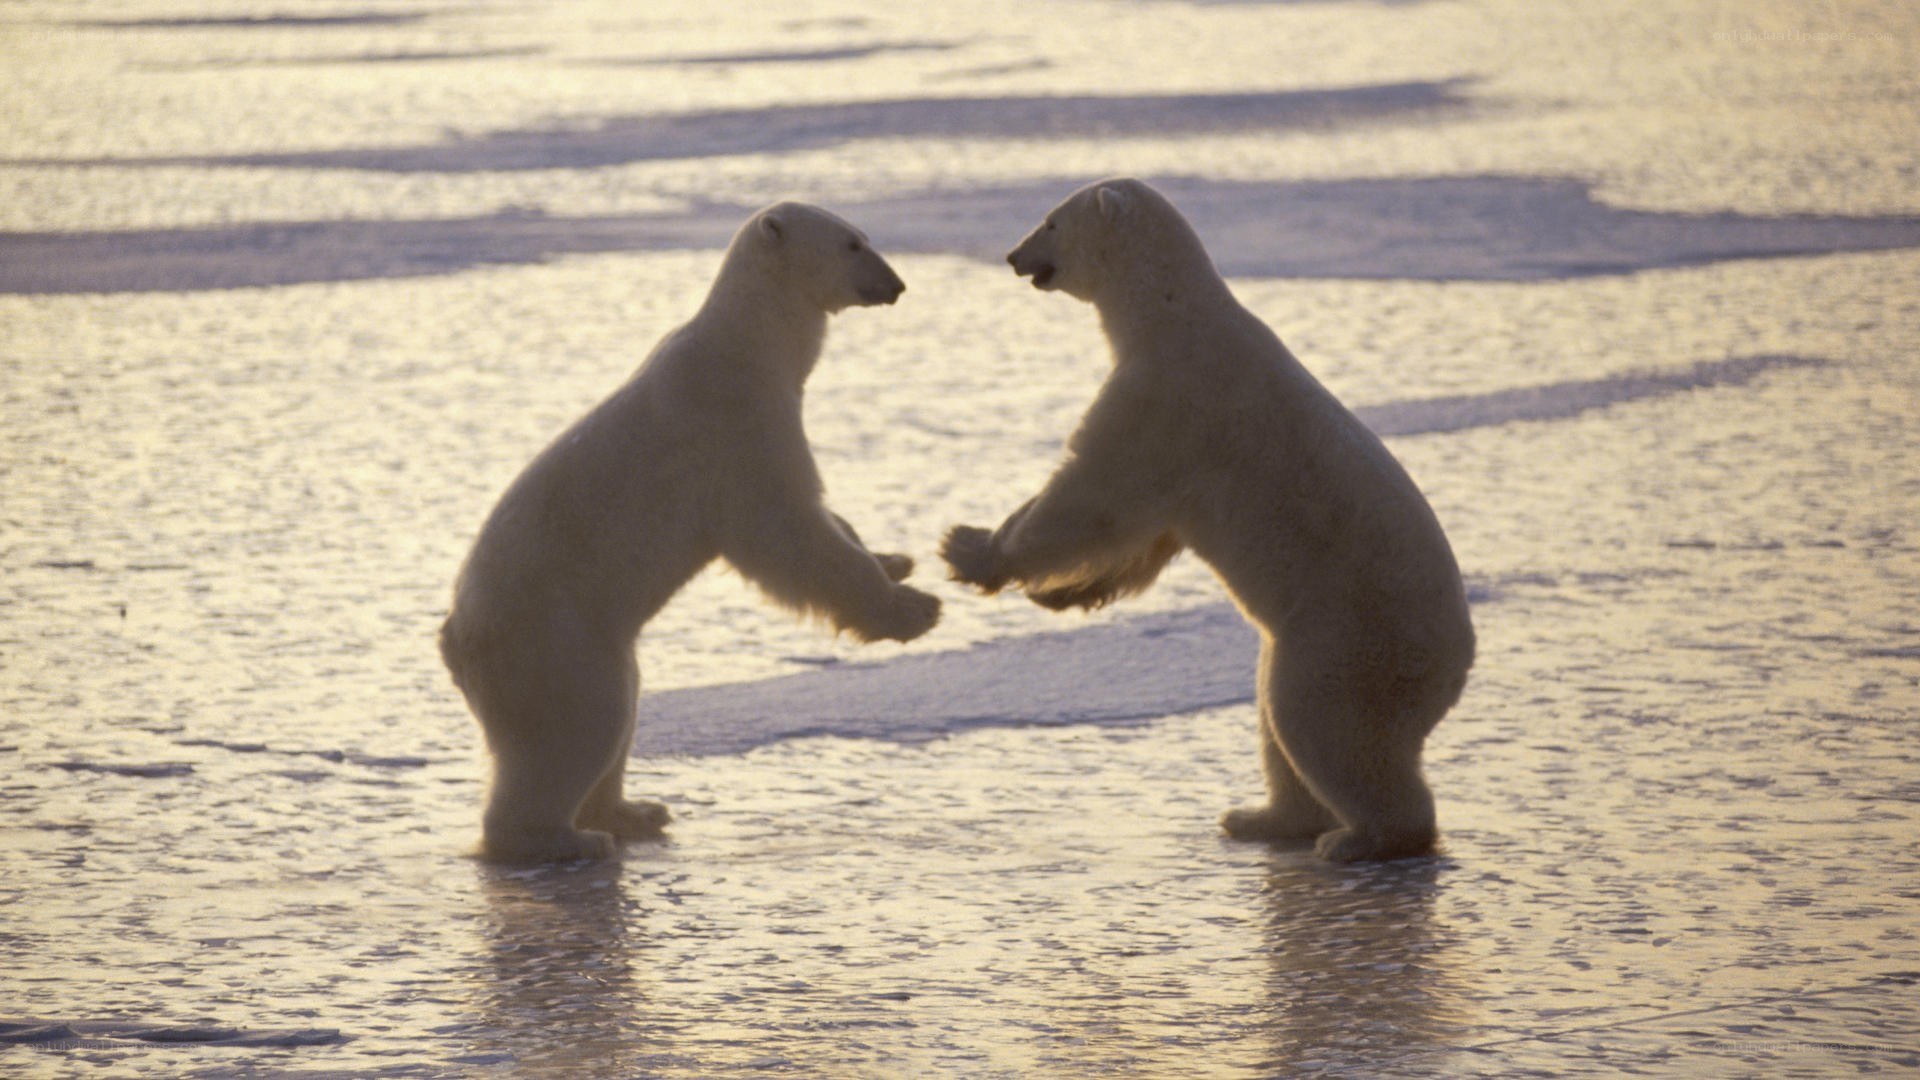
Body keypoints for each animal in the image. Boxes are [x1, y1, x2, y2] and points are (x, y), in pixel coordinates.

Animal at [440, 201, 941, 863]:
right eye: (852, 244)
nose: (897, 284)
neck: (746, 344)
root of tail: (454, 640)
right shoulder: (735, 425)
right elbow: (785, 528)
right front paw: (914, 608)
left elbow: (826, 523)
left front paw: (896, 559)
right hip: (552, 639)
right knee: (579, 726)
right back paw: (567, 838)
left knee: (621, 711)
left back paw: (636, 811)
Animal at [942, 177, 1474, 862]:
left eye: (1051, 221)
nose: (1012, 255)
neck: (1172, 311)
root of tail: (1454, 667)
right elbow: (1147, 534)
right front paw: (1064, 595)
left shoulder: (1165, 397)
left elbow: (1092, 495)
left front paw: (969, 549)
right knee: (1278, 720)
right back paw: (1261, 817)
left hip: (1351, 637)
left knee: (1320, 726)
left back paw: (1359, 839)